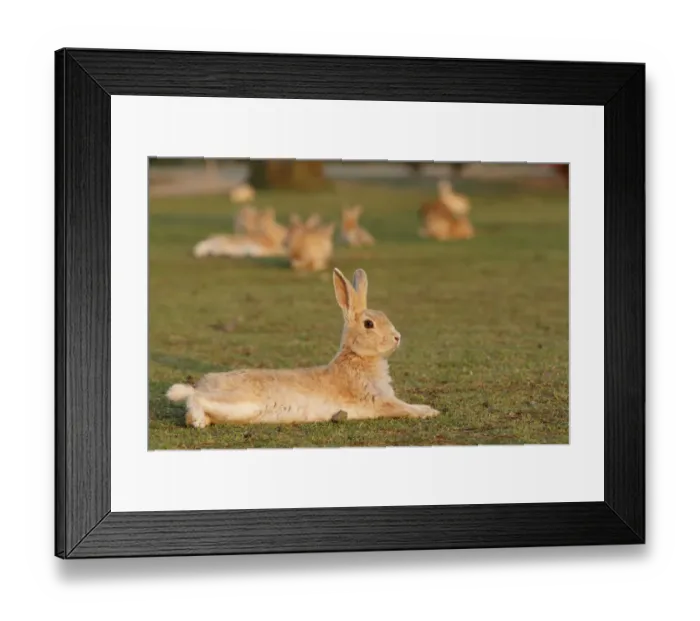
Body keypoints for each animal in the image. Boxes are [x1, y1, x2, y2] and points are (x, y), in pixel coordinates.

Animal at [166, 267, 440, 427]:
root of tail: (204, 383)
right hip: (239, 401)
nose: (397, 337)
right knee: (194, 398)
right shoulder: (379, 400)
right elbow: (404, 408)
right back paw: (198, 419)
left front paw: (428, 409)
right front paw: (431, 412)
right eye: (369, 324)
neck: (357, 357)